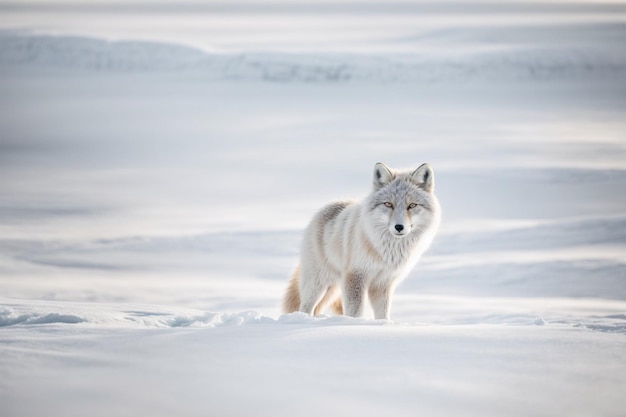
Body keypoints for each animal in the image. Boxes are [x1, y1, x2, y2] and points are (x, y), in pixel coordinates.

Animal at [282, 162, 438, 318]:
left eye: (412, 205)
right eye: (388, 204)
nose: (399, 227)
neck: (388, 250)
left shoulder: (383, 283)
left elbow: (382, 314)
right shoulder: (355, 276)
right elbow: (355, 312)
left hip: (333, 287)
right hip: (317, 284)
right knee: (305, 306)